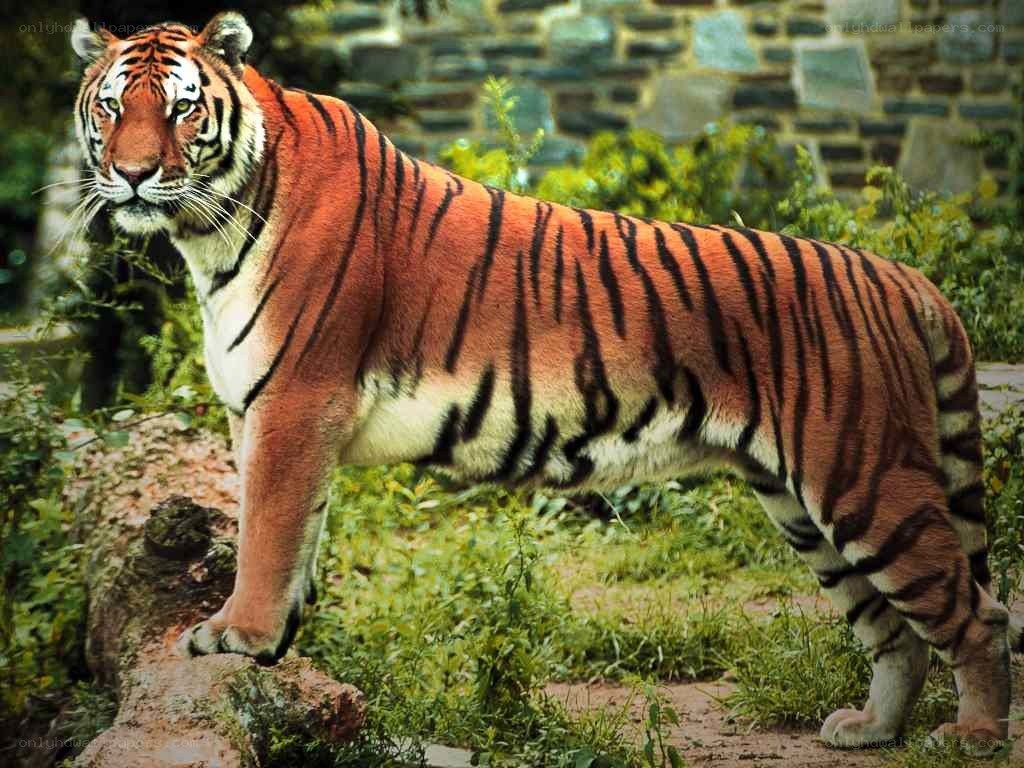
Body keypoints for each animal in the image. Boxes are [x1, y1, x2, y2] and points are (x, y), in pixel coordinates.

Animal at [71, 12, 1021, 754]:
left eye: (182, 107)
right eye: (112, 106)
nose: (133, 173)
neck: (210, 230)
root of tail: (900, 276)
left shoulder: (296, 402)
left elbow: (266, 535)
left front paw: (237, 636)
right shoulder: (266, 415)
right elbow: (294, 534)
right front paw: (274, 648)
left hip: (866, 479)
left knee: (979, 615)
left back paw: (972, 735)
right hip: (802, 504)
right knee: (894, 631)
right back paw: (871, 729)